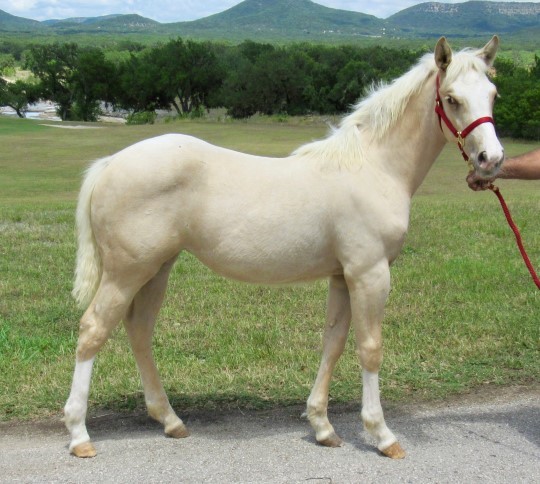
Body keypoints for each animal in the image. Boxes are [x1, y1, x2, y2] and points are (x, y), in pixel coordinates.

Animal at [65, 36, 504, 458]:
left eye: (493, 94)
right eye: (452, 98)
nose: (491, 160)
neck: (373, 167)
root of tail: (110, 163)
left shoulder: (342, 276)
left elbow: (333, 343)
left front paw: (323, 427)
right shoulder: (370, 273)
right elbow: (370, 348)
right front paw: (381, 434)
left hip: (157, 269)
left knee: (139, 329)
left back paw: (170, 420)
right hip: (126, 272)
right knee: (93, 330)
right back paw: (79, 434)